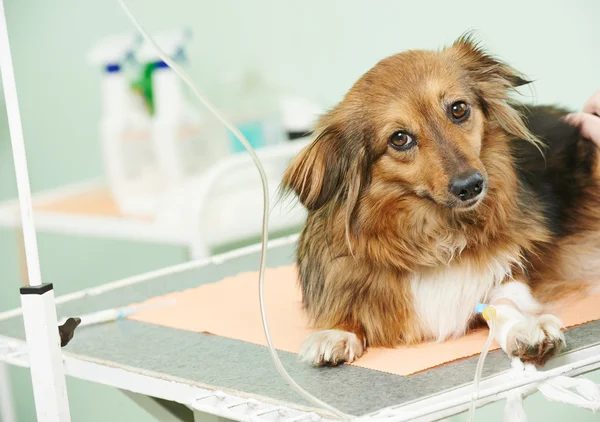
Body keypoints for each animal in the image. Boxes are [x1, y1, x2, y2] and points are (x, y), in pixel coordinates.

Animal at [282, 33, 600, 366]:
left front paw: (525, 329)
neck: (435, 231)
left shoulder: (511, 272)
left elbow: (503, 302)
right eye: (399, 138)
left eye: (458, 109)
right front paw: (337, 332)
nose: (471, 186)